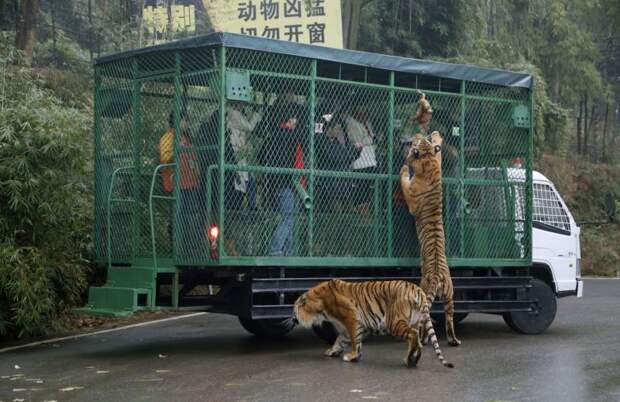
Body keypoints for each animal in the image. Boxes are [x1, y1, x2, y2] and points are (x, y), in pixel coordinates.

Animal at [288, 280, 452, 368]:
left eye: (294, 309)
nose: (292, 317)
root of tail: (417, 289)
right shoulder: (349, 328)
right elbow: (341, 340)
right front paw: (333, 351)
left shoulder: (351, 317)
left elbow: (354, 340)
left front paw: (352, 356)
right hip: (414, 321)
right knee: (418, 340)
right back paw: (413, 359)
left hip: (394, 322)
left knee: (414, 335)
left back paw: (409, 360)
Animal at [402, 131, 460, 346]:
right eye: (423, 139)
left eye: (418, 141)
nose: (418, 133)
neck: (427, 159)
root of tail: (437, 276)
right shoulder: (438, 160)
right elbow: (440, 152)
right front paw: (437, 136)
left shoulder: (410, 198)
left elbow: (404, 180)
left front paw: (404, 166)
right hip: (451, 294)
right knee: (449, 319)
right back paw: (453, 341)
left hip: (424, 290)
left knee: (422, 321)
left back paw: (422, 339)